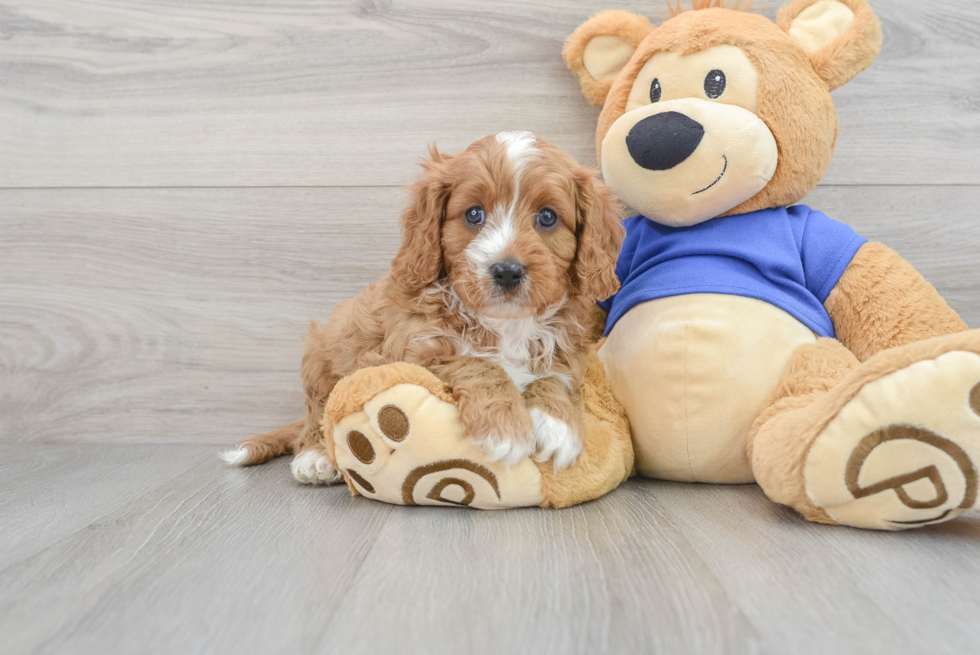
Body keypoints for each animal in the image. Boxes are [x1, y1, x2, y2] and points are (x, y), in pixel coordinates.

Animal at [222, 132, 620, 482]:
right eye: (473, 214)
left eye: (548, 217)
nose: (507, 270)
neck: (505, 324)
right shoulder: (409, 354)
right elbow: (478, 363)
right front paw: (505, 427)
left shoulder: (565, 352)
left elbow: (553, 377)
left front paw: (557, 425)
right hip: (319, 360)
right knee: (316, 416)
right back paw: (315, 458)